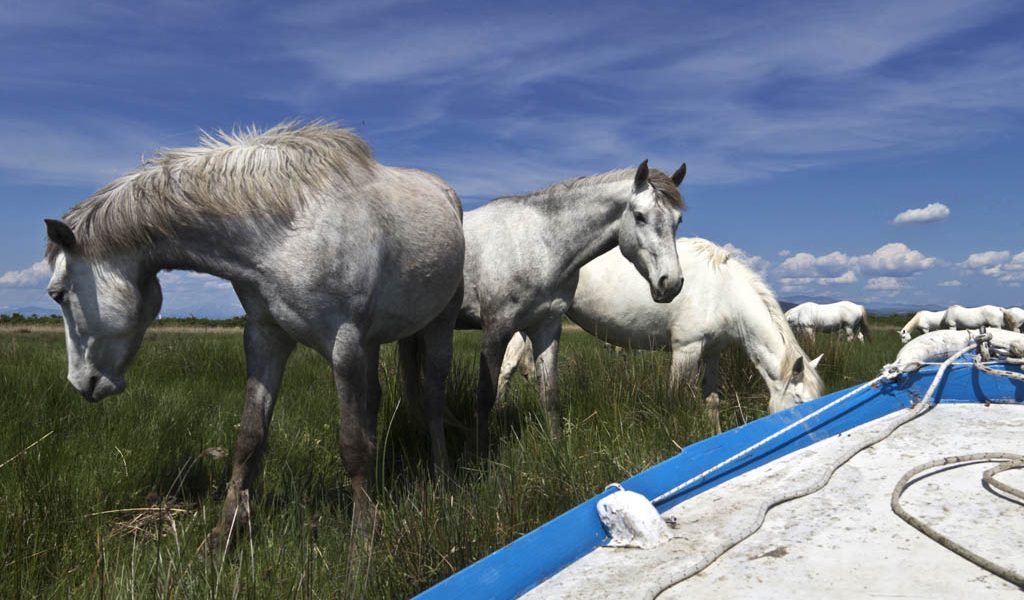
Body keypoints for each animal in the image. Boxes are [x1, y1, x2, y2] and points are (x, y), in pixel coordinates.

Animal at [45, 121, 464, 540]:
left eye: (57, 294)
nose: (80, 382)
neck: (286, 231)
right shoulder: (266, 338)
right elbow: (249, 438)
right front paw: (224, 533)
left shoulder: (343, 342)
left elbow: (352, 444)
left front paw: (362, 536)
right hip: (370, 342)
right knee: (373, 400)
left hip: (438, 325)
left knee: (433, 396)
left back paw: (442, 480)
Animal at [458, 160, 684, 450]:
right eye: (640, 216)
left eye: (678, 220)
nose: (671, 283)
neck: (538, 243)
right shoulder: (496, 328)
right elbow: (485, 395)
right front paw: (479, 452)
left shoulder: (546, 327)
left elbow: (550, 393)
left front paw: (556, 449)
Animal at [495, 235, 823, 432]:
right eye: (800, 402)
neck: (723, 289)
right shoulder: (686, 349)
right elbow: (674, 401)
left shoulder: (712, 352)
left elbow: (712, 401)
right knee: (506, 368)